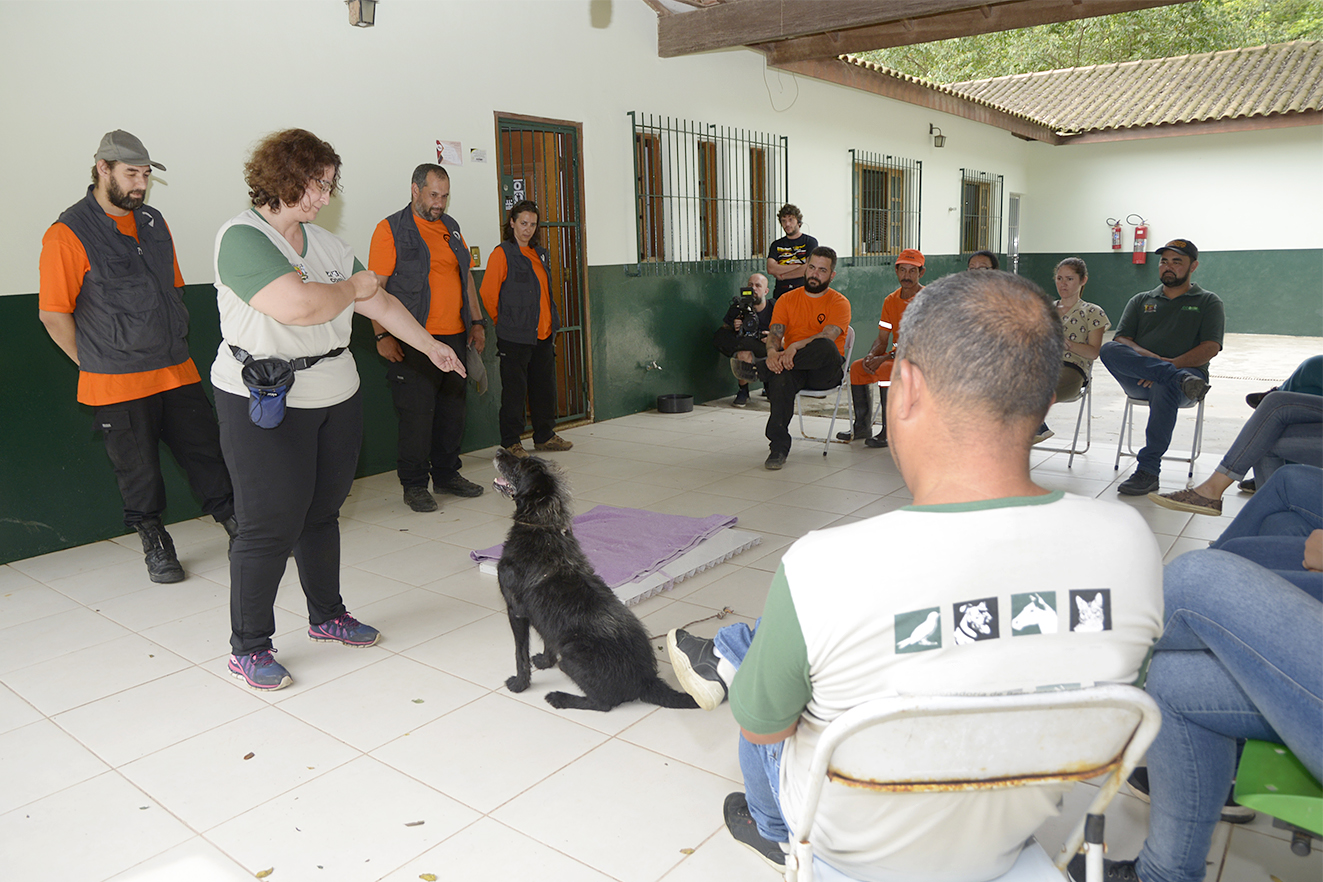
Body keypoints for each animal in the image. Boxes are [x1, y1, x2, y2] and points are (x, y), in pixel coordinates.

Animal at [492, 452, 698, 714]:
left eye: (520, 466)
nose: (498, 451)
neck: (542, 524)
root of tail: (648, 681)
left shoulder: (516, 611)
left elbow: (520, 654)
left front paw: (520, 684)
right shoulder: (541, 620)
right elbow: (548, 640)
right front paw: (545, 661)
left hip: (570, 657)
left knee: (603, 704)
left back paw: (560, 697)